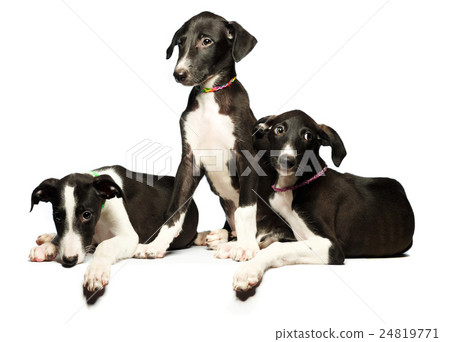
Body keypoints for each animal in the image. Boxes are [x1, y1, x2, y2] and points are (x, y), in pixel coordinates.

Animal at [28, 166, 197, 292]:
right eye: (57, 216)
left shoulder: (129, 237)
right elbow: (63, 237)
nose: (69, 261)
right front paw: (47, 246)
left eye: (86, 214)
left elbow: (105, 245)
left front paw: (96, 271)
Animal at [134, 11, 260, 262]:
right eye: (181, 42)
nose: (178, 74)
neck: (211, 95)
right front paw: (157, 244)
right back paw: (221, 237)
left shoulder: (246, 157)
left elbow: (246, 209)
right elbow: (175, 209)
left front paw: (246, 247)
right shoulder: (189, 161)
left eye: (207, 41)